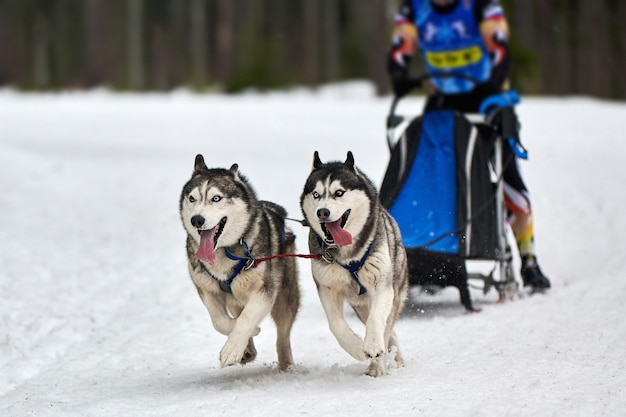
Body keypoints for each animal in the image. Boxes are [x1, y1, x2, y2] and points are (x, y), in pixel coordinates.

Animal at [178, 154, 300, 368]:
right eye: (192, 198)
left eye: (216, 198)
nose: (197, 220)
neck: (224, 251)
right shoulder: (206, 288)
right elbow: (220, 321)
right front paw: (246, 337)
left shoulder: (264, 290)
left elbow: (246, 318)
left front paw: (232, 349)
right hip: (236, 298)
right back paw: (248, 349)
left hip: (285, 297)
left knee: (283, 334)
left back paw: (286, 365)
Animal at [298, 151, 408, 376]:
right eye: (316, 194)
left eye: (339, 192)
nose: (322, 212)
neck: (348, 256)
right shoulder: (327, 287)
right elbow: (336, 325)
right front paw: (357, 348)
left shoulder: (382, 286)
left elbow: (377, 321)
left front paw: (372, 346)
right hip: (360, 307)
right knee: (390, 333)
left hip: (393, 293)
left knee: (386, 328)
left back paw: (382, 364)